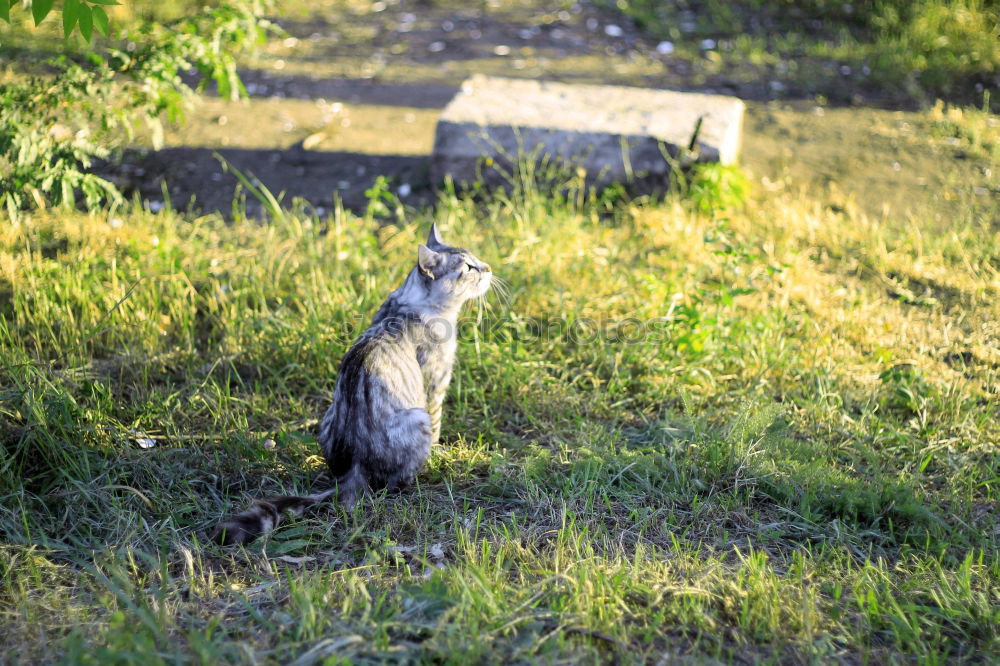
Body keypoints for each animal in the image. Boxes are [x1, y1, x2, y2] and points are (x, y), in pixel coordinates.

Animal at [213, 224, 490, 544]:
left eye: (477, 259)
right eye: (468, 267)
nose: (488, 268)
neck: (409, 303)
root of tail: (354, 467)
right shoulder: (434, 387)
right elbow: (438, 425)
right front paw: (440, 452)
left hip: (328, 415)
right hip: (415, 416)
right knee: (395, 482)